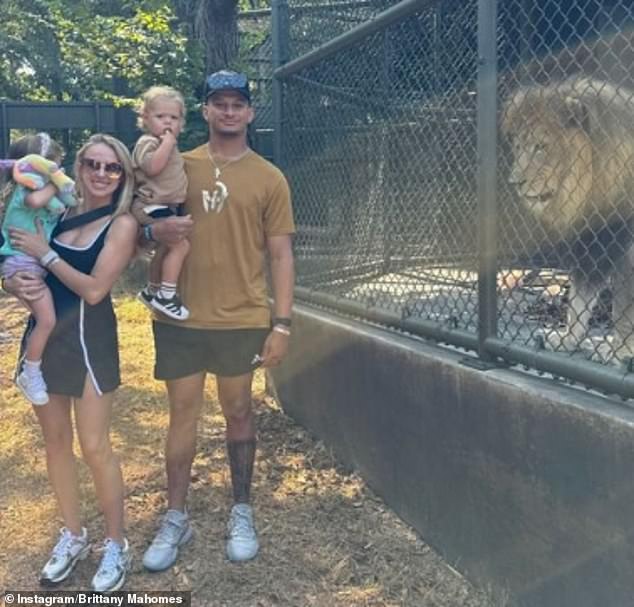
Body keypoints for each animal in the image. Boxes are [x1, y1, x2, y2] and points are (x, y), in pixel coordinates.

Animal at [502, 75, 632, 360]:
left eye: (540, 147)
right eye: (518, 147)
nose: (515, 182)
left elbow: (624, 310)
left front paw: (621, 351)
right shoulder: (596, 243)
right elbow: (579, 300)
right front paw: (567, 339)